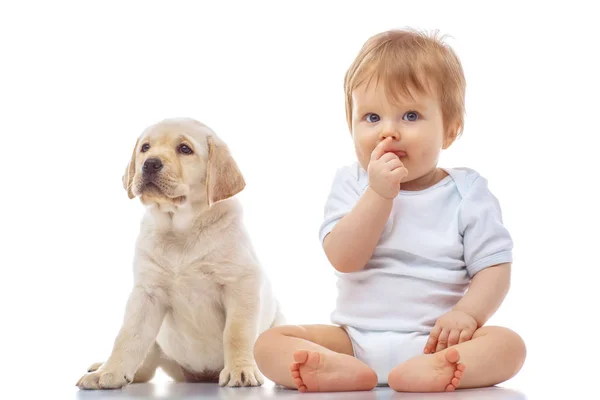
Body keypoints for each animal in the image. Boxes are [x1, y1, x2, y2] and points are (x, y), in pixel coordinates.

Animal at [76, 117, 282, 390]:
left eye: (185, 149)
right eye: (145, 148)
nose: (150, 163)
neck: (180, 230)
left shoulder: (240, 283)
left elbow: (237, 333)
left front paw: (240, 370)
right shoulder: (147, 293)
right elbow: (129, 336)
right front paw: (109, 372)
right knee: (144, 368)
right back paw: (104, 367)